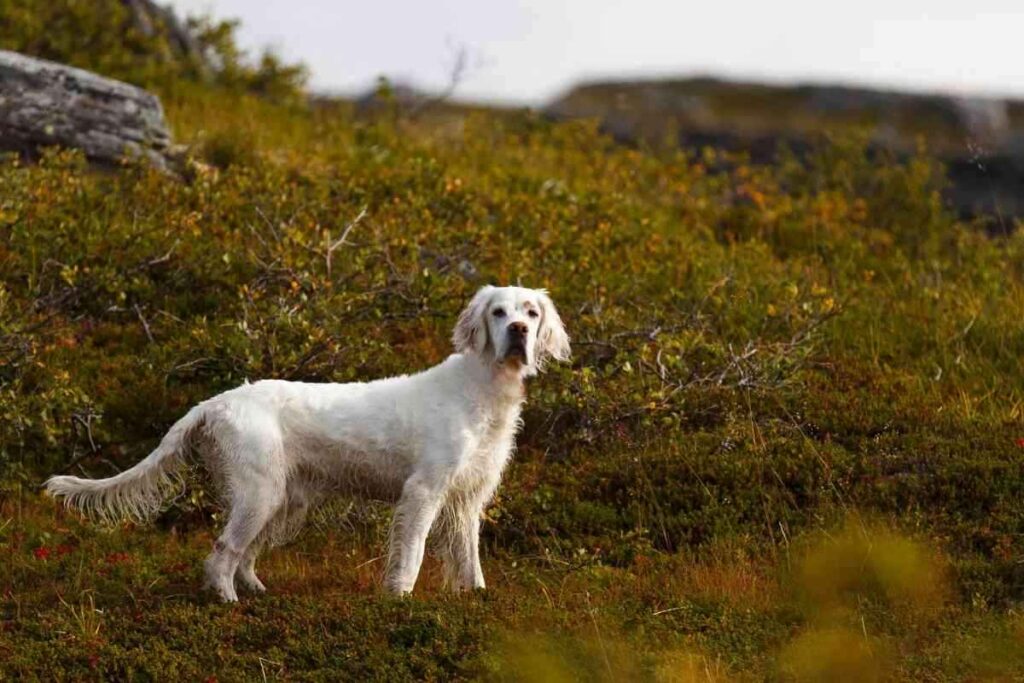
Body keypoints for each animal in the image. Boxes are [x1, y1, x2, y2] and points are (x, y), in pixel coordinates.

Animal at [46, 286, 569, 602]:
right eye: (498, 312)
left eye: (531, 312)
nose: (519, 331)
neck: (479, 389)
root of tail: (216, 402)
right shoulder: (424, 491)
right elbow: (414, 551)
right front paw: (399, 598)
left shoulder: (467, 497)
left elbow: (468, 556)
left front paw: (476, 595)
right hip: (260, 494)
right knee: (222, 552)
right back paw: (228, 601)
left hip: (283, 499)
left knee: (245, 554)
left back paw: (255, 590)